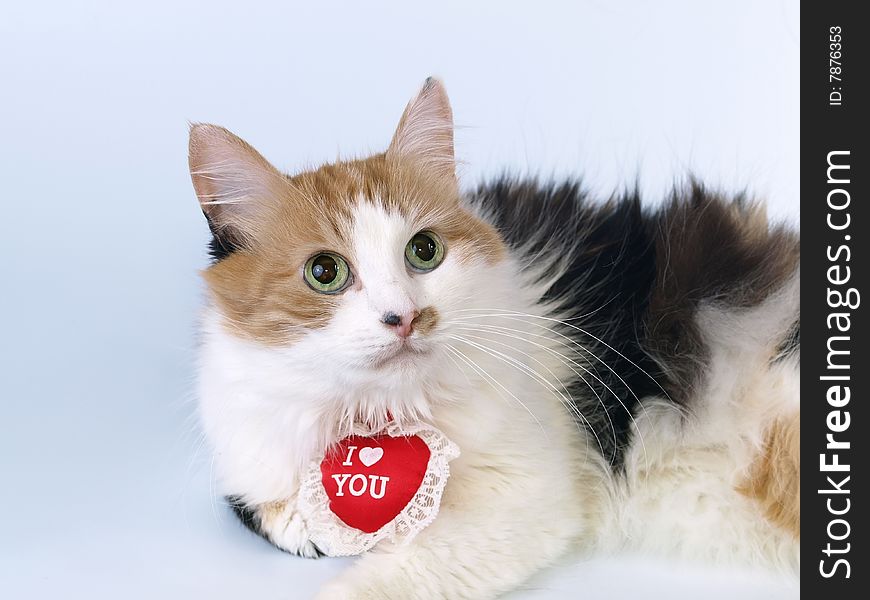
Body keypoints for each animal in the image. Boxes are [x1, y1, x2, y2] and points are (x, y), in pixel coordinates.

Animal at [187, 77, 800, 596]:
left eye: (424, 250)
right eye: (324, 272)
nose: (405, 317)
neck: (375, 415)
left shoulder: (525, 497)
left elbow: (391, 576)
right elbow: (258, 502)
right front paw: (300, 518)